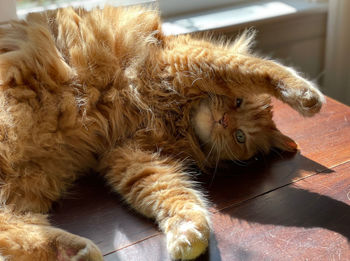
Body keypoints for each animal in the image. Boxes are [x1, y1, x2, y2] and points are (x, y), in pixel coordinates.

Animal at [0, 4, 324, 260]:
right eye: (237, 101)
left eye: (240, 137)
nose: (223, 121)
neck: (177, 115)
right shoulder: (191, 59)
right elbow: (261, 69)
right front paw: (306, 96)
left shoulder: (133, 157)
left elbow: (177, 198)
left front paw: (190, 236)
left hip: (32, 181)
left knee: (10, 226)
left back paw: (74, 251)